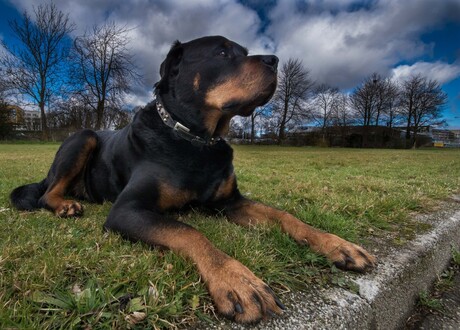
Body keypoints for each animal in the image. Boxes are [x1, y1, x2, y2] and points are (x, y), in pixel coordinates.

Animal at [10, 35, 376, 322]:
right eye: (223, 53)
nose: (275, 60)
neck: (197, 140)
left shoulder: (230, 201)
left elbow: (283, 215)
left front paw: (336, 244)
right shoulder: (127, 209)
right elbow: (188, 231)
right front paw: (239, 281)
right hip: (82, 137)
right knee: (45, 193)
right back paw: (65, 206)